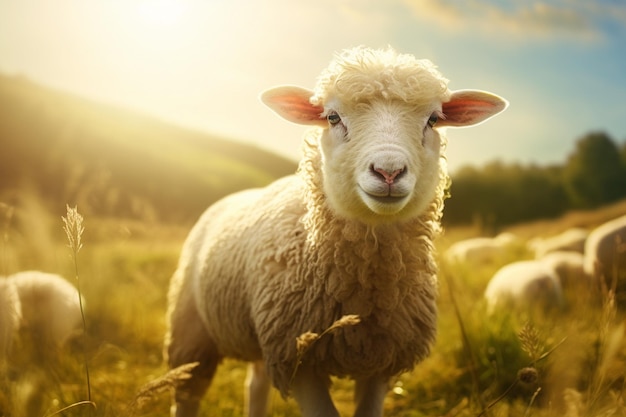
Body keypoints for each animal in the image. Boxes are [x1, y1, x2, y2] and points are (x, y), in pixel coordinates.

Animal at [163, 45, 504, 416]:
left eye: (433, 120)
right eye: (332, 118)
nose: (388, 171)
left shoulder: (380, 361)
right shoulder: (298, 357)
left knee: (255, 384)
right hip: (190, 331)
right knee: (187, 394)